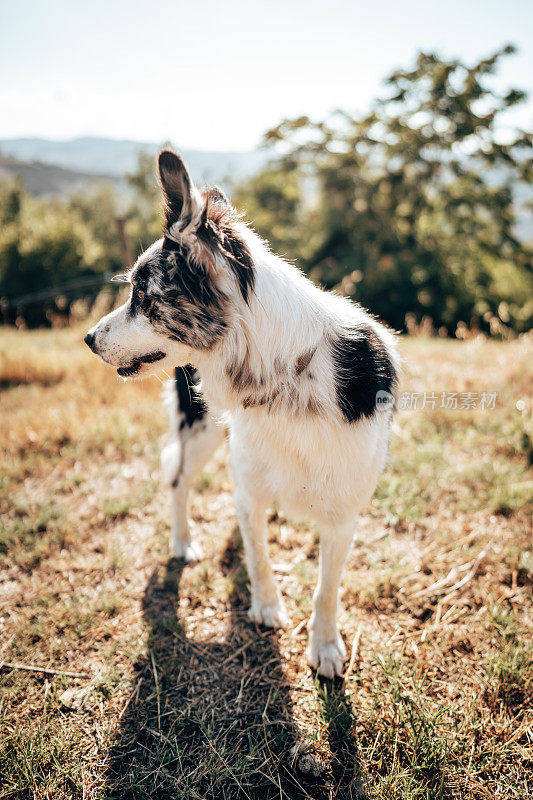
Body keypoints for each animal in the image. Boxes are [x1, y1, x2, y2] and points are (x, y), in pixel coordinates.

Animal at [85, 153, 396, 680]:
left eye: (143, 299)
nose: (87, 339)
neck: (286, 378)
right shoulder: (249, 487)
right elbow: (260, 557)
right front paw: (267, 607)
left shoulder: (344, 512)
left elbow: (327, 588)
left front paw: (325, 646)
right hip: (201, 432)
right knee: (178, 481)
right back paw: (183, 541)